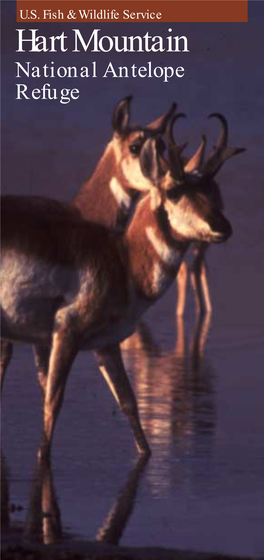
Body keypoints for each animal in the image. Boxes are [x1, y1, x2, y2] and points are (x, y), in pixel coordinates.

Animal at [0, 137, 232, 460]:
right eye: (174, 190)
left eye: (209, 189)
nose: (223, 227)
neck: (122, 259)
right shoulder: (66, 335)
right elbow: (52, 403)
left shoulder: (107, 345)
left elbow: (129, 404)